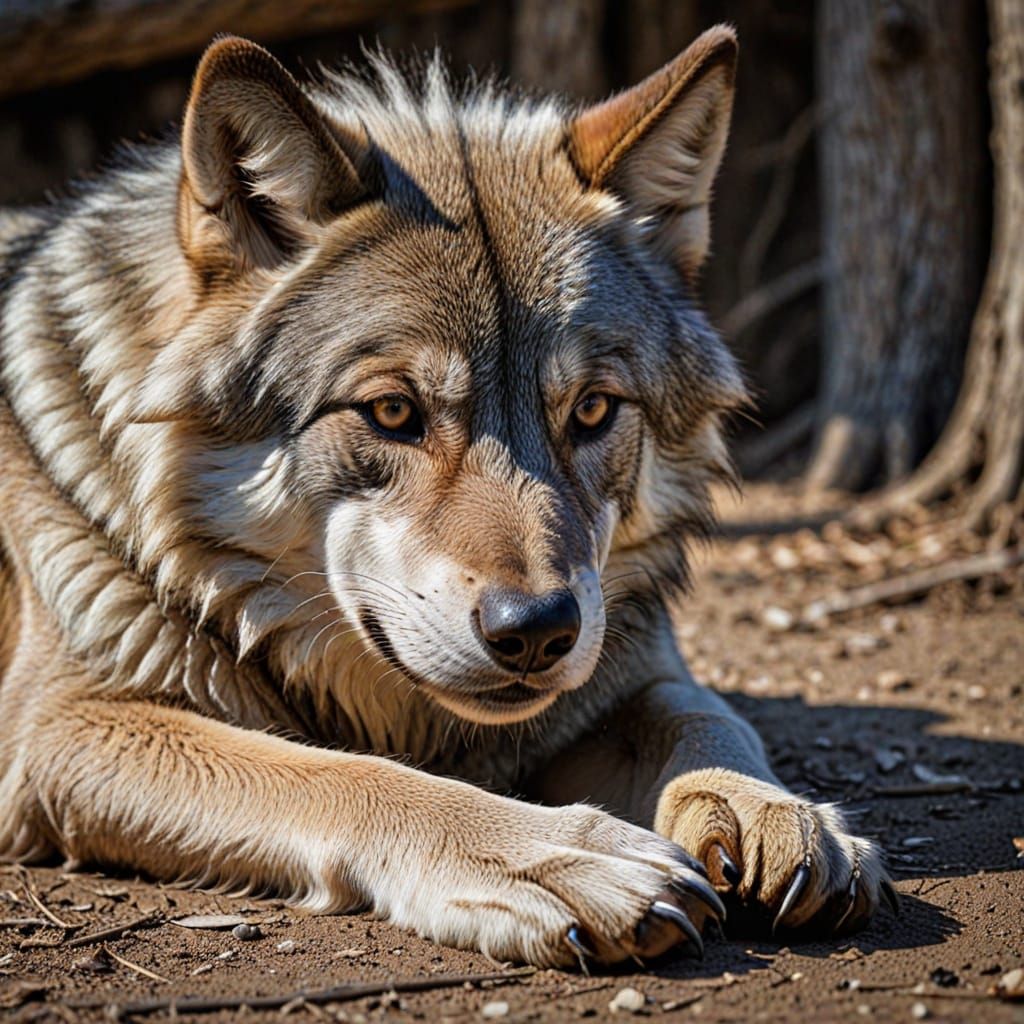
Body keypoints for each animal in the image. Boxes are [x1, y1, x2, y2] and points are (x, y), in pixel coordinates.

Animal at [0, 26, 891, 966]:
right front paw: (558, 854)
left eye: (593, 410)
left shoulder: (631, 665)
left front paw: (776, 810)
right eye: (393, 412)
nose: (538, 631)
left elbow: (704, 714)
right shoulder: (57, 731)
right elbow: (350, 773)